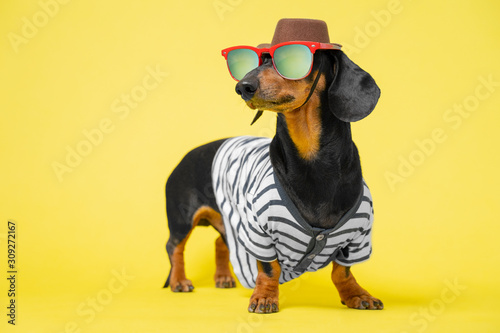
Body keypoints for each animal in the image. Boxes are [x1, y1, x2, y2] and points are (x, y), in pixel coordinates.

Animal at [162, 18, 380, 312]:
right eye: (255, 60)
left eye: (288, 59)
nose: (243, 86)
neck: (312, 158)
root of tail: (186, 155)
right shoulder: (259, 231)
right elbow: (269, 269)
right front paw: (264, 296)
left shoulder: (359, 236)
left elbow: (342, 271)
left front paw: (356, 294)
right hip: (182, 217)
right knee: (174, 246)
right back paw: (179, 281)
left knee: (220, 241)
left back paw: (223, 277)